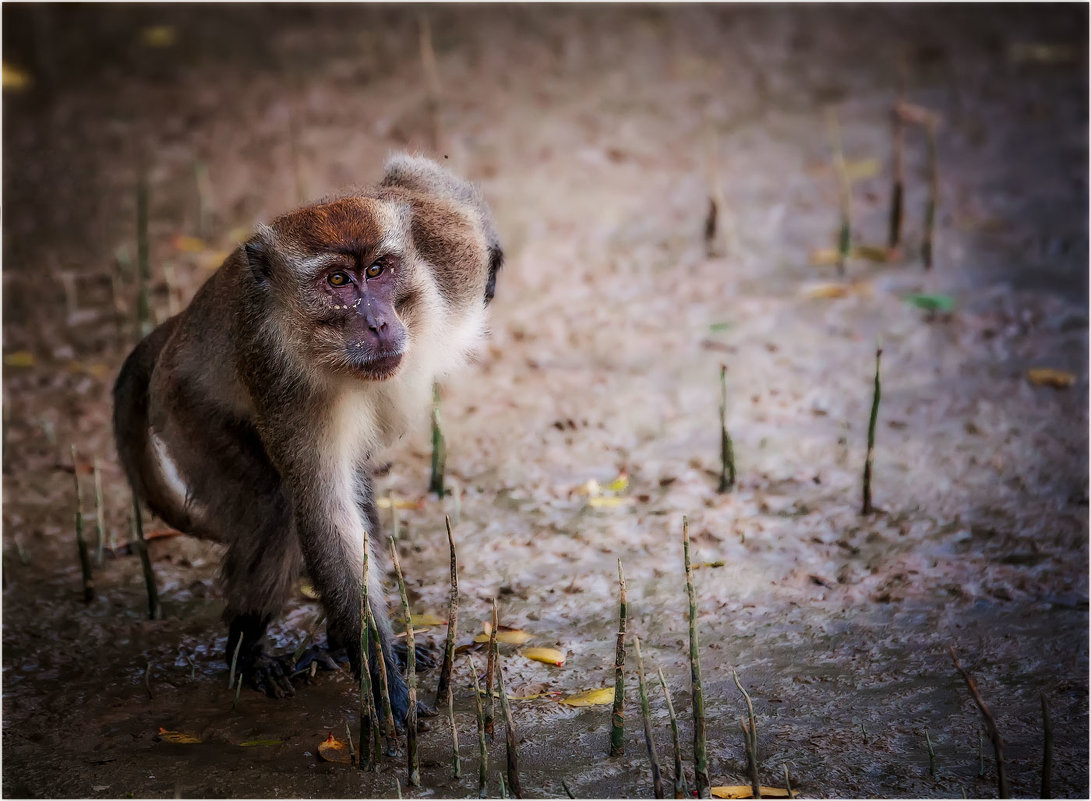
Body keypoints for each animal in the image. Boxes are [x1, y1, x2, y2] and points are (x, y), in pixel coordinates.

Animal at [110, 154, 501, 720]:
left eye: (377, 271)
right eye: (337, 280)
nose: (378, 322)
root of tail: (179, 325)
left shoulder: (452, 256)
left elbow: (418, 181)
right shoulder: (280, 378)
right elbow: (322, 510)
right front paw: (382, 680)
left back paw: (332, 645)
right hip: (187, 410)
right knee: (275, 505)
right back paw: (247, 653)